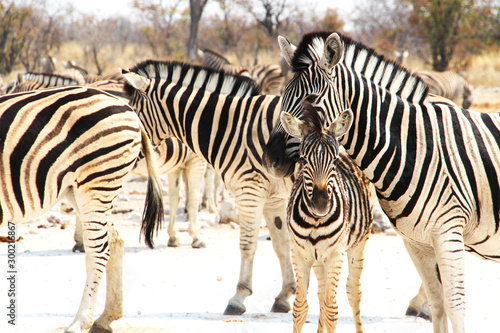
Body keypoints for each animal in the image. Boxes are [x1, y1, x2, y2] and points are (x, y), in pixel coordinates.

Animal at [0, 84, 164, 330]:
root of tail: (128, 108)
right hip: (79, 189)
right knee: (115, 241)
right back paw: (105, 319)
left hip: (97, 182)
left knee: (98, 251)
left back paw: (79, 323)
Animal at [119, 59, 296, 314]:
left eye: (135, 114)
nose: (129, 151)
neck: (233, 127)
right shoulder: (268, 194)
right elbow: (281, 244)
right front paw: (284, 295)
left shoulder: (251, 190)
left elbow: (250, 244)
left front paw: (240, 297)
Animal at [284, 101, 374, 332]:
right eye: (303, 159)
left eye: (333, 161)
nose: (321, 203)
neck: (315, 222)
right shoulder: (299, 254)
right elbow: (300, 308)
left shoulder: (336, 254)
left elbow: (332, 310)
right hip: (318, 258)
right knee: (321, 293)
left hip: (357, 246)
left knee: (353, 292)